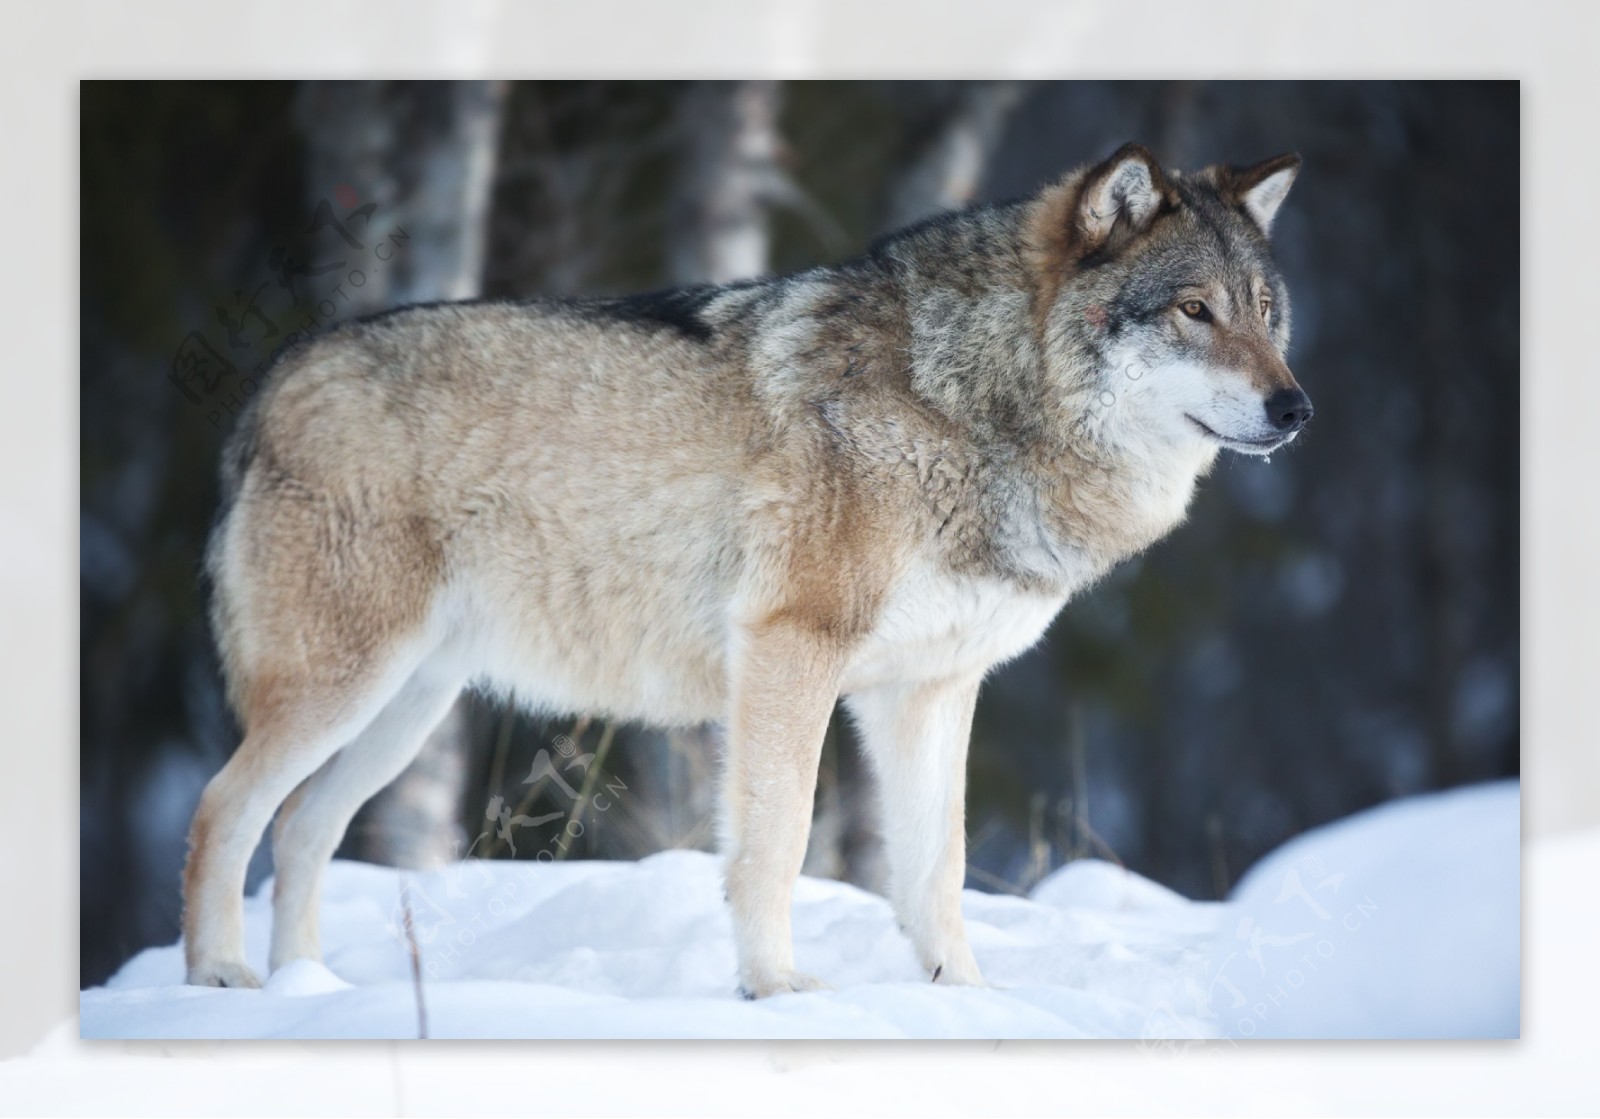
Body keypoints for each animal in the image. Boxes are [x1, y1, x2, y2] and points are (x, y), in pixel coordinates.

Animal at [187, 142, 1312, 998]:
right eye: (1194, 311)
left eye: (1266, 310)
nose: (1296, 408)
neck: (967, 400)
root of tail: (273, 381)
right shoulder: (791, 651)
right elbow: (777, 840)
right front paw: (775, 990)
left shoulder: (930, 691)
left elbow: (935, 871)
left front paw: (967, 1003)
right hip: (345, 690)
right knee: (221, 810)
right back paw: (225, 985)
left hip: (405, 712)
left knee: (299, 827)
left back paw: (309, 993)